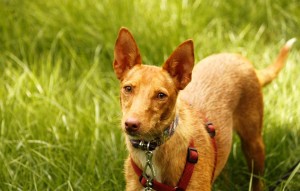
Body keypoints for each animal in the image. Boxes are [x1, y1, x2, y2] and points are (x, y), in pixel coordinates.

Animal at [112, 27, 296, 191]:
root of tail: (239, 58)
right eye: (128, 88)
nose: (131, 124)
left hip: (253, 144)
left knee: (257, 180)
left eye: (161, 95)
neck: (151, 150)